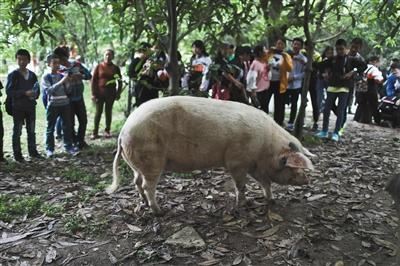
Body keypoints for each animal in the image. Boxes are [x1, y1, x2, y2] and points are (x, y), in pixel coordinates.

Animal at [107, 96, 316, 215]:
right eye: (293, 165)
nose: (307, 180)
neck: (266, 148)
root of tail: (124, 130)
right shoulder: (237, 161)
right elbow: (241, 185)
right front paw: (243, 204)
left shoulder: (253, 165)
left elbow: (266, 183)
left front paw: (271, 201)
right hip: (151, 159)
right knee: (146, 185)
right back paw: (159, 211)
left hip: (137, 162)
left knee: (136, 181)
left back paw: (143, 202)